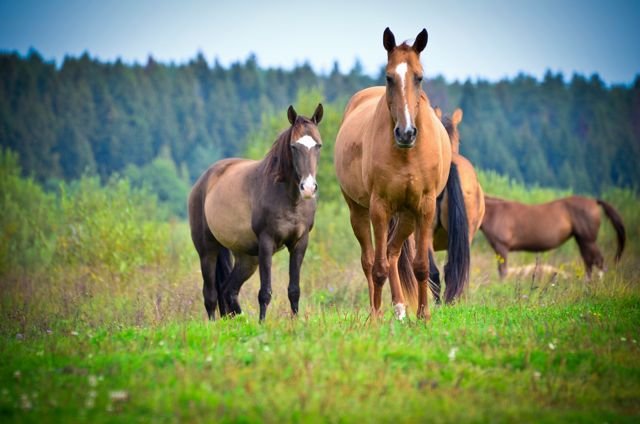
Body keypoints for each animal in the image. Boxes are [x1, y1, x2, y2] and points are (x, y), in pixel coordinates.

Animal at [188, 105, 322, 322]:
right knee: (210, 295)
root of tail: (203, 181)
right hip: (207, 251)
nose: (308, 188)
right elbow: (265, 292)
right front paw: (262, 323)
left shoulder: (299, 243)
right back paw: (212, 325)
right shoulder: (266, 243)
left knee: (228, 290)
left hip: (247, 259)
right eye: (293, 146)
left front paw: (294, 322)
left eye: (318, 145)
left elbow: (294, 290)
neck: (288, 198)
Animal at [332, 27, 468, 322]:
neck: (406, 154)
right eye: (389, 77)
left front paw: (423, 316)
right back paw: (379, 311)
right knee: (370, 259)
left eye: (419, 77)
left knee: (393, 253)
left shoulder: (424, 207)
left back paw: (399, 308)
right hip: (359, 211)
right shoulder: (379, 207)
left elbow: (421, 266)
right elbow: (378, 267)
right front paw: (375, 318)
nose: (406, 133)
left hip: (406, 215)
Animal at [480, 195, 624, 278]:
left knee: (598, 262)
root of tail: (594, 201)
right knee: (589, 263)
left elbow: (503, 271)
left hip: (588, 240)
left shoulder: (501, 247)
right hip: (582, 241)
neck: (496, 212)